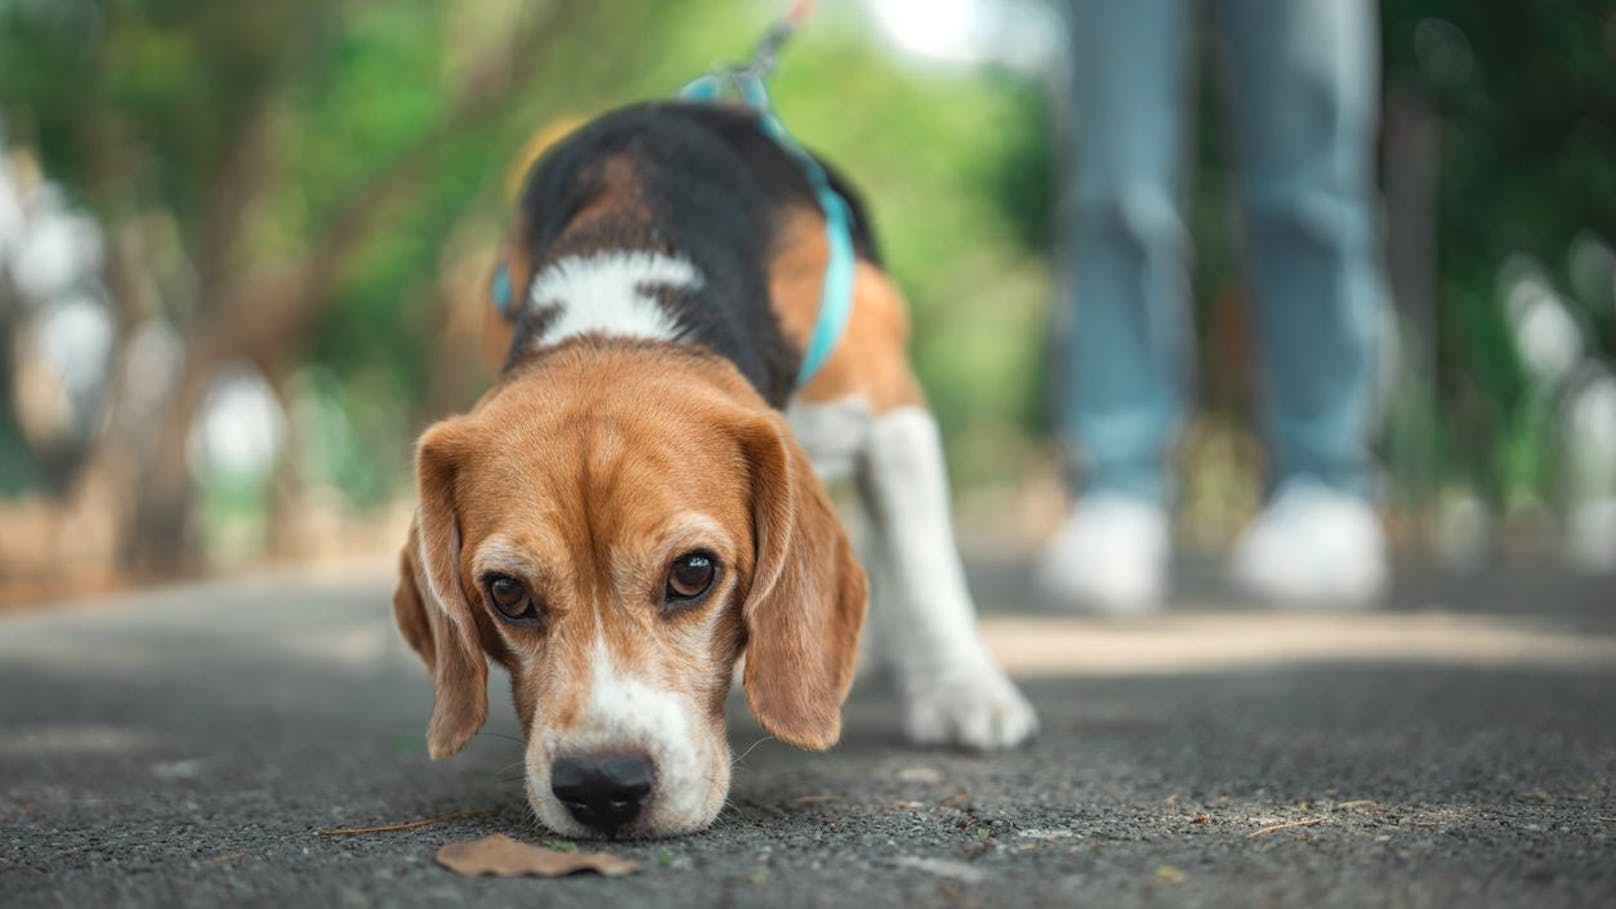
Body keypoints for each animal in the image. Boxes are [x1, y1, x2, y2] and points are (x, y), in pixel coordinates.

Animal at [391, 104, 1034, 834]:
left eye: (693, 573)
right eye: (506, 592)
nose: (602, 786)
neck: (621, 289)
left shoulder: (893, 413)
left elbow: (925, 562)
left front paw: (965, 691)